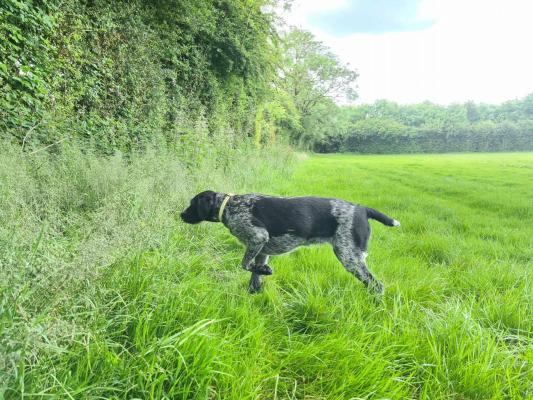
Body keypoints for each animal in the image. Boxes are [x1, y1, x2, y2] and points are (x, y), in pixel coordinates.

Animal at [180, 191, 400, 294]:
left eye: (192, 204)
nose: (181, 215)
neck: (228, 207)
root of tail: (362, 209)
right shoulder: (261, 250)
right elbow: (254, 272)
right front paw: (254, 290)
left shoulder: (258, 236)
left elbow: (244, 264)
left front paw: (264, 274)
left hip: (349, 256)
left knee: (377, 285)